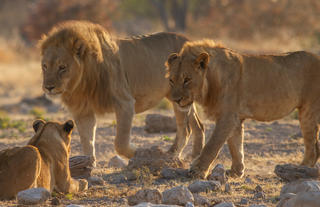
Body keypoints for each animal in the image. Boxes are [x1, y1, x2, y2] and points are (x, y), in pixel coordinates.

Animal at [39, 19, 205, 165]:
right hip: (182, 99)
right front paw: (88, 164)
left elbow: (120, 142)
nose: (48, 87)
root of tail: (191, 42)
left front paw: (140, 153)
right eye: (45, 66)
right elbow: (87, 141)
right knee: (198, 126)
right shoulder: (82, 111)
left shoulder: (125, 102)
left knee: (185, 129)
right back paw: (195, 155)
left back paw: (170, 155)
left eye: (62, 67)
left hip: (178, 98)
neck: (81, 85)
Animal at [166, 39, 320, 179]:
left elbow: (212, 145)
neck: (210, 81)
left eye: (187, 79)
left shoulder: (227, 118)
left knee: (312, 147)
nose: (176, 100)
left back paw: (300, 169)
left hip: (308, 110)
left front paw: (198, 170)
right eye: (171, 80)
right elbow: (235, 145)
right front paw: (236, 172)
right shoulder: (236, 118)